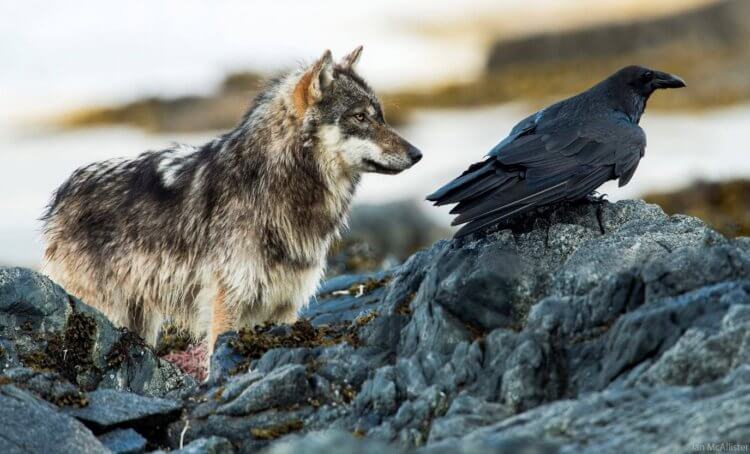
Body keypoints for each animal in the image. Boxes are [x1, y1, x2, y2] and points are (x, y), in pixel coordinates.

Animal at [39, 47, 424, 358]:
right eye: (360, 117)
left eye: (380, 116)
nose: (417, 154)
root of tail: (62, 193)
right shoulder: (227, 304)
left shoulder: (285, 308)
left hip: (141, 323)